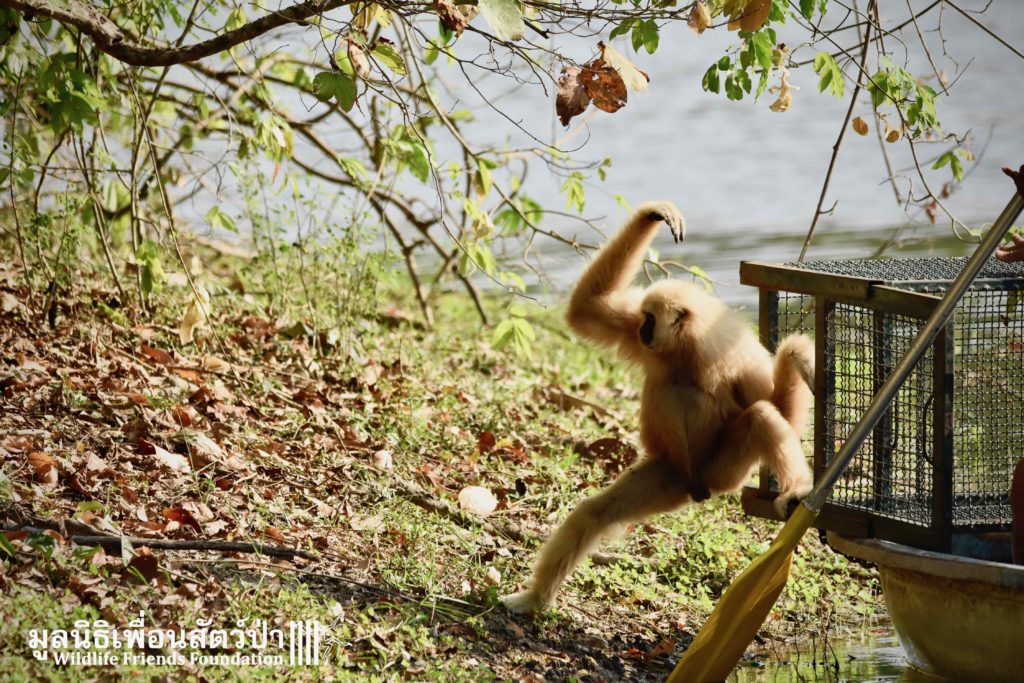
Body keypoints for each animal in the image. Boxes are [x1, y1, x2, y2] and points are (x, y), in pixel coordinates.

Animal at [500, 201, 814, 615]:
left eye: (651, 320)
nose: (642, 330)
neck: (685, 352)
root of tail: (694, 485)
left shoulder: (738, 357)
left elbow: (780, 411)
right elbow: (586, 310)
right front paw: (655, 213)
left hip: (723, 469)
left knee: (761, 416)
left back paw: (793, 490)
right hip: (668, 474)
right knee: (594, 513)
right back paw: (535, 598)